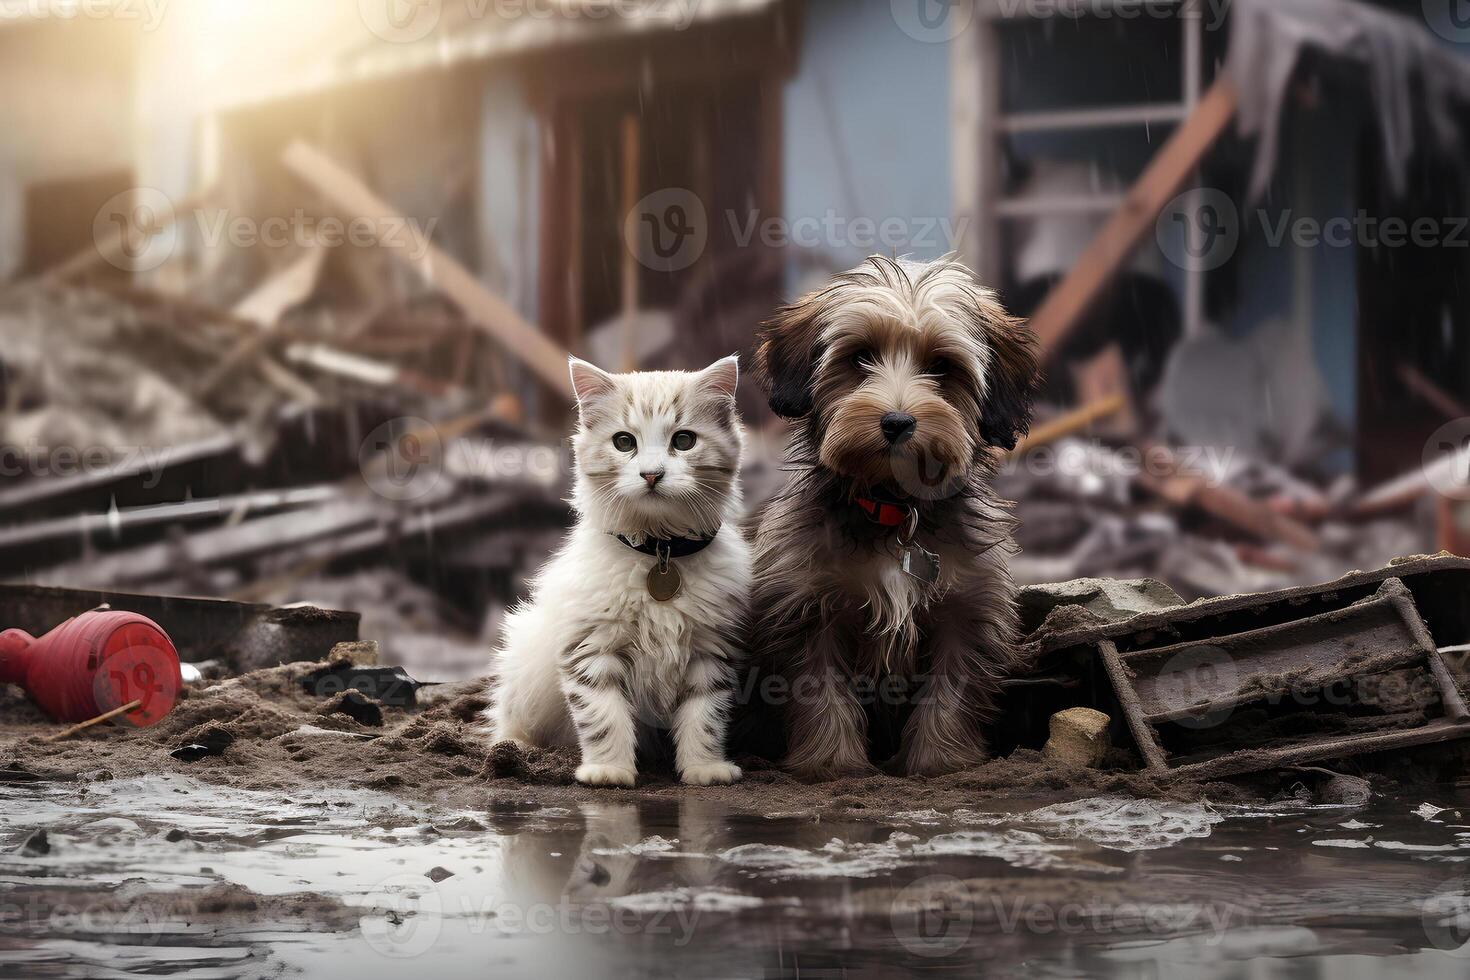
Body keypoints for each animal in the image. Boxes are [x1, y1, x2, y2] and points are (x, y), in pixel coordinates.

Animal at [488, 357, 752, 787]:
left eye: (684, 441)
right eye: (624, 442)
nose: (651, 474)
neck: (660, 551)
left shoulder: (710, 650)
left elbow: (705, 717)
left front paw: (704, 769)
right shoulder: (590, 647)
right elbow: (603, 717)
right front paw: (608, 770)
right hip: (523, 662)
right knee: (509, 723)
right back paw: (514, 751)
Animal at [752, 255, 1040, 781]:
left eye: (942, 367)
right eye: (860, 357)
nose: (897, 422)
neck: (894, 509)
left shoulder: (966, 611)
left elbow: (951, 690)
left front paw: (939, 760)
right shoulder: (807, 608)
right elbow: (820, 689)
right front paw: (832, 763)